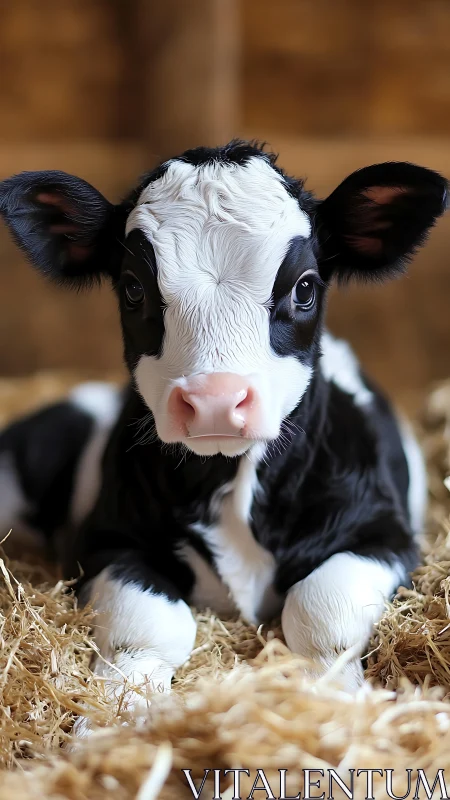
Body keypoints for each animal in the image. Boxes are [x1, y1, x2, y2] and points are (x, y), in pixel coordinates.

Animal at [0, 141, 446, 734]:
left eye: (305, 286)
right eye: (133, 288)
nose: (214, 399)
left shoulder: (385, 535)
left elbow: (322, 607)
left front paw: (336, 702)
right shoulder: (110, 541)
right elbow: (148, 625)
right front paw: (118, 715)